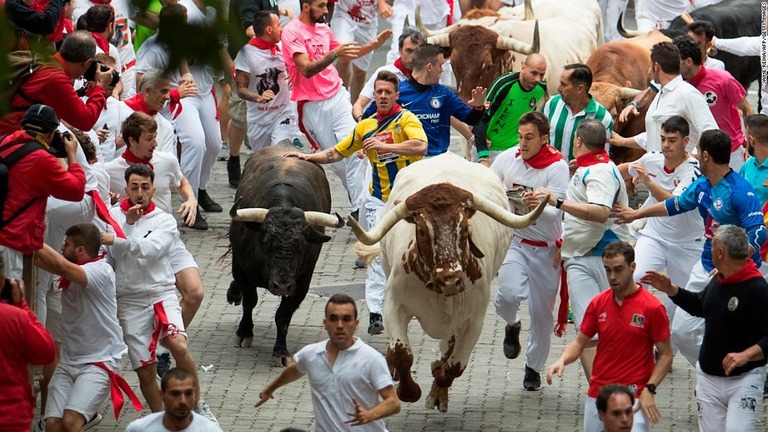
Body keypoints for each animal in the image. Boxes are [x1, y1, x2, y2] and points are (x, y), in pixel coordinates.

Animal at [348, 153, 544, 412]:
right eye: (421, 230)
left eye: (464, 227)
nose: (449, 279)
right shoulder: (394, 305)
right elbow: (401, 355)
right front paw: (409, 390)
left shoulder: (473, 320)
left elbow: (453, 366)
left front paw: (437, 387)